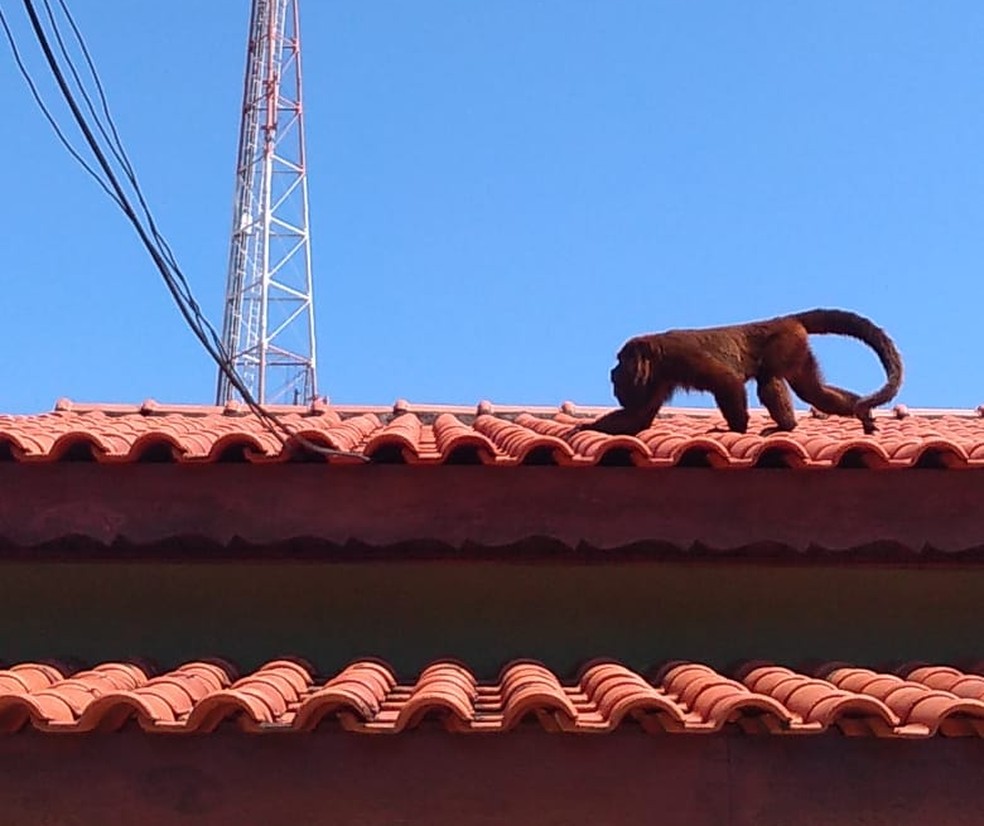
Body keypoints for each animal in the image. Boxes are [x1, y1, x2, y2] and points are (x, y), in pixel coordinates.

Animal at [572, 308, 904, 438]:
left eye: (621, 360)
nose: (613, 369)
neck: (655, 356)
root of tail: (783, 320)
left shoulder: (679, 355)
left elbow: (726, 381)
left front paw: (737, 430)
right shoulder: (660, 377)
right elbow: (639, 416)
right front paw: (584, 428)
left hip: (784, 342)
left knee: (769, 380)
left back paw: (785, 426)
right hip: (798, 347)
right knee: (814, 392)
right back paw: (862, 411)